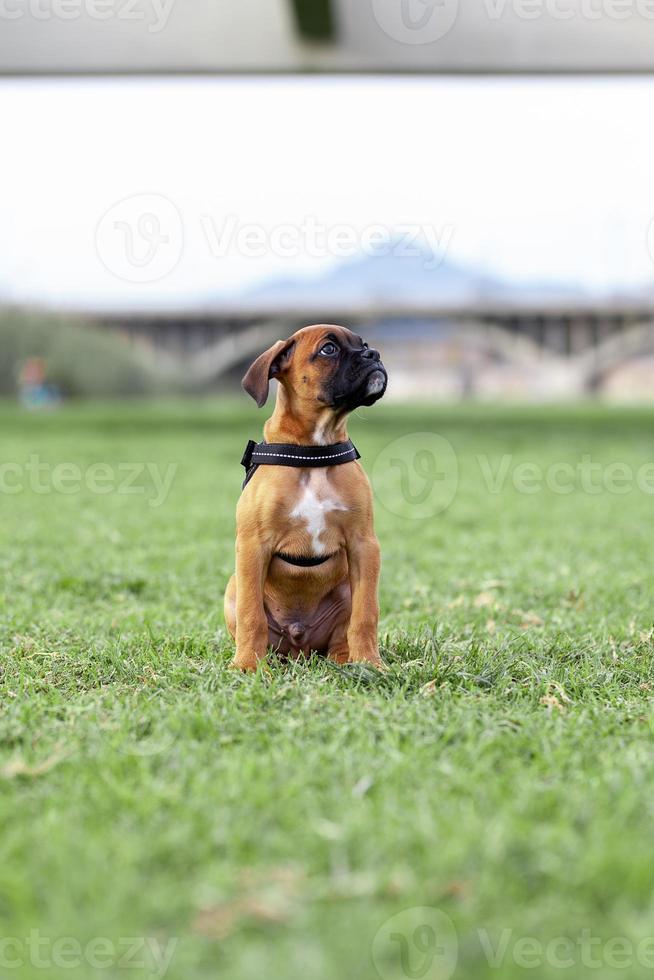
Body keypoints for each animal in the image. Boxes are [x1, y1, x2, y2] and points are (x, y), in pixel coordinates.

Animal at [227, 326, 390, 668]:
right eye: (328, 349)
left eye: (364, 344)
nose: (374, 354)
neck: (314, 451)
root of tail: (298, 646)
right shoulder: (251, 547)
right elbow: (251, 615)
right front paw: (247, 665)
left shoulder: (364, 545)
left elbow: (366, 613)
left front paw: (371, 663)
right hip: (233, 585)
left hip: (345, 590)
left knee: (343, 633)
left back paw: (345, 661)